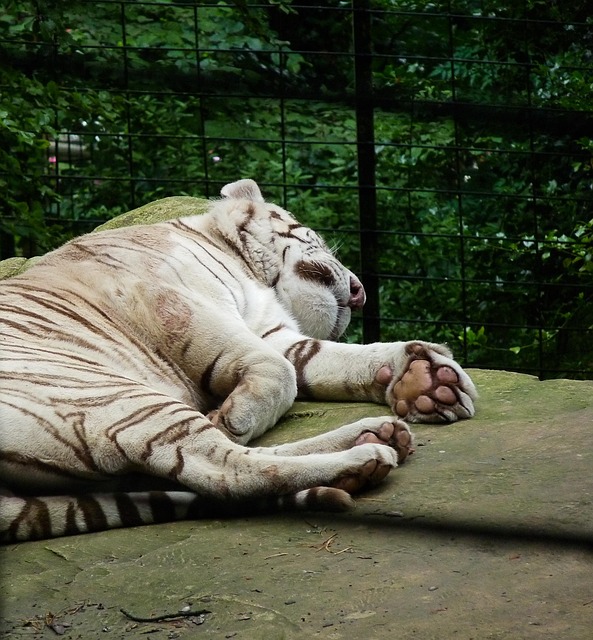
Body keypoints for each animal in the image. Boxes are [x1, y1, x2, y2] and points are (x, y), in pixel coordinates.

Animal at [0, 178, 477, 542]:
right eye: (316, 238)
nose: (359, 292)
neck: (248, 269)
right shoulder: (170, 300)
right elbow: (280, 375)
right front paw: (230, 417)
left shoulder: (271, 332)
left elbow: (326, 359)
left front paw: (429, 381)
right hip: (108, 395)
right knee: (226, 470)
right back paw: (362, 458)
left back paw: (375, 435)